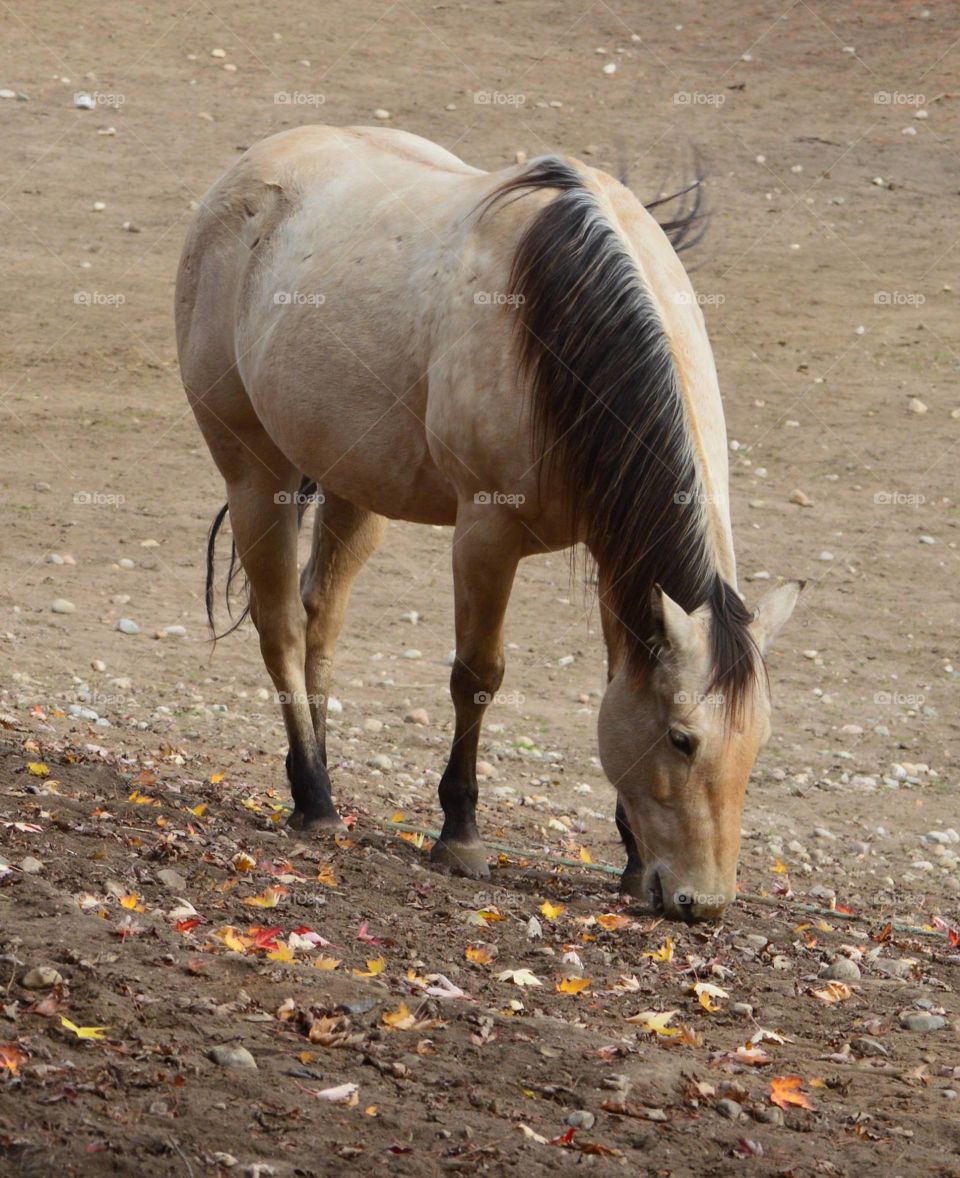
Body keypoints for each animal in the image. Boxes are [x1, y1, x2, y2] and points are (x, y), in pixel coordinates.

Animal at [175, 124, 802, 923]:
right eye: (682, 739)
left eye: (758, 745)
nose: (704, 903)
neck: (558, 319)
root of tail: (244, 178)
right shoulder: (485, 537)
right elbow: (477, 675)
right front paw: (461, 835)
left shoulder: (615, 558)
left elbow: (615, 674)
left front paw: (631, 863)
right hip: (257, 475)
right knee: (281, 624)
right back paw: (314, 798)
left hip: (354, 489)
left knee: (322, 621)